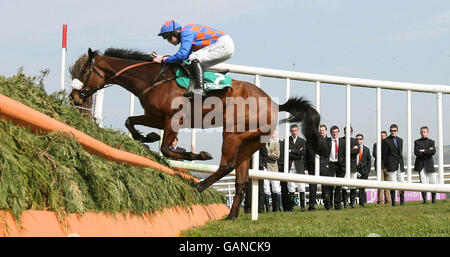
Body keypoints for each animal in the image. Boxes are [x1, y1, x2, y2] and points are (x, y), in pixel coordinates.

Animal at [70, 47, 322, 218]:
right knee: (240, 179)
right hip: (249, 143)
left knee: (226, 165)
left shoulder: (173, 120)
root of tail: (274, 104)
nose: (74, 98)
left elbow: (166, 149)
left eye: (82, 71)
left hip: (232, 134)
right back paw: (230, 216)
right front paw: (146, 137)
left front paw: (194, 155)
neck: (153, 79)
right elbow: (130, 122)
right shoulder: (155, 117)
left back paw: (198, 185)